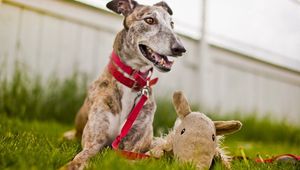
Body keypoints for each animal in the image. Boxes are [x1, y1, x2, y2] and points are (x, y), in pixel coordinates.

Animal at [63, 0, 185, 169]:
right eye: (149, 20)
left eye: (171, 24)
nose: (180, 48)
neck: (131, 82)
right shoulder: (94, 142)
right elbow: (79, 158)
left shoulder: (131, 146)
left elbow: (131, 160)